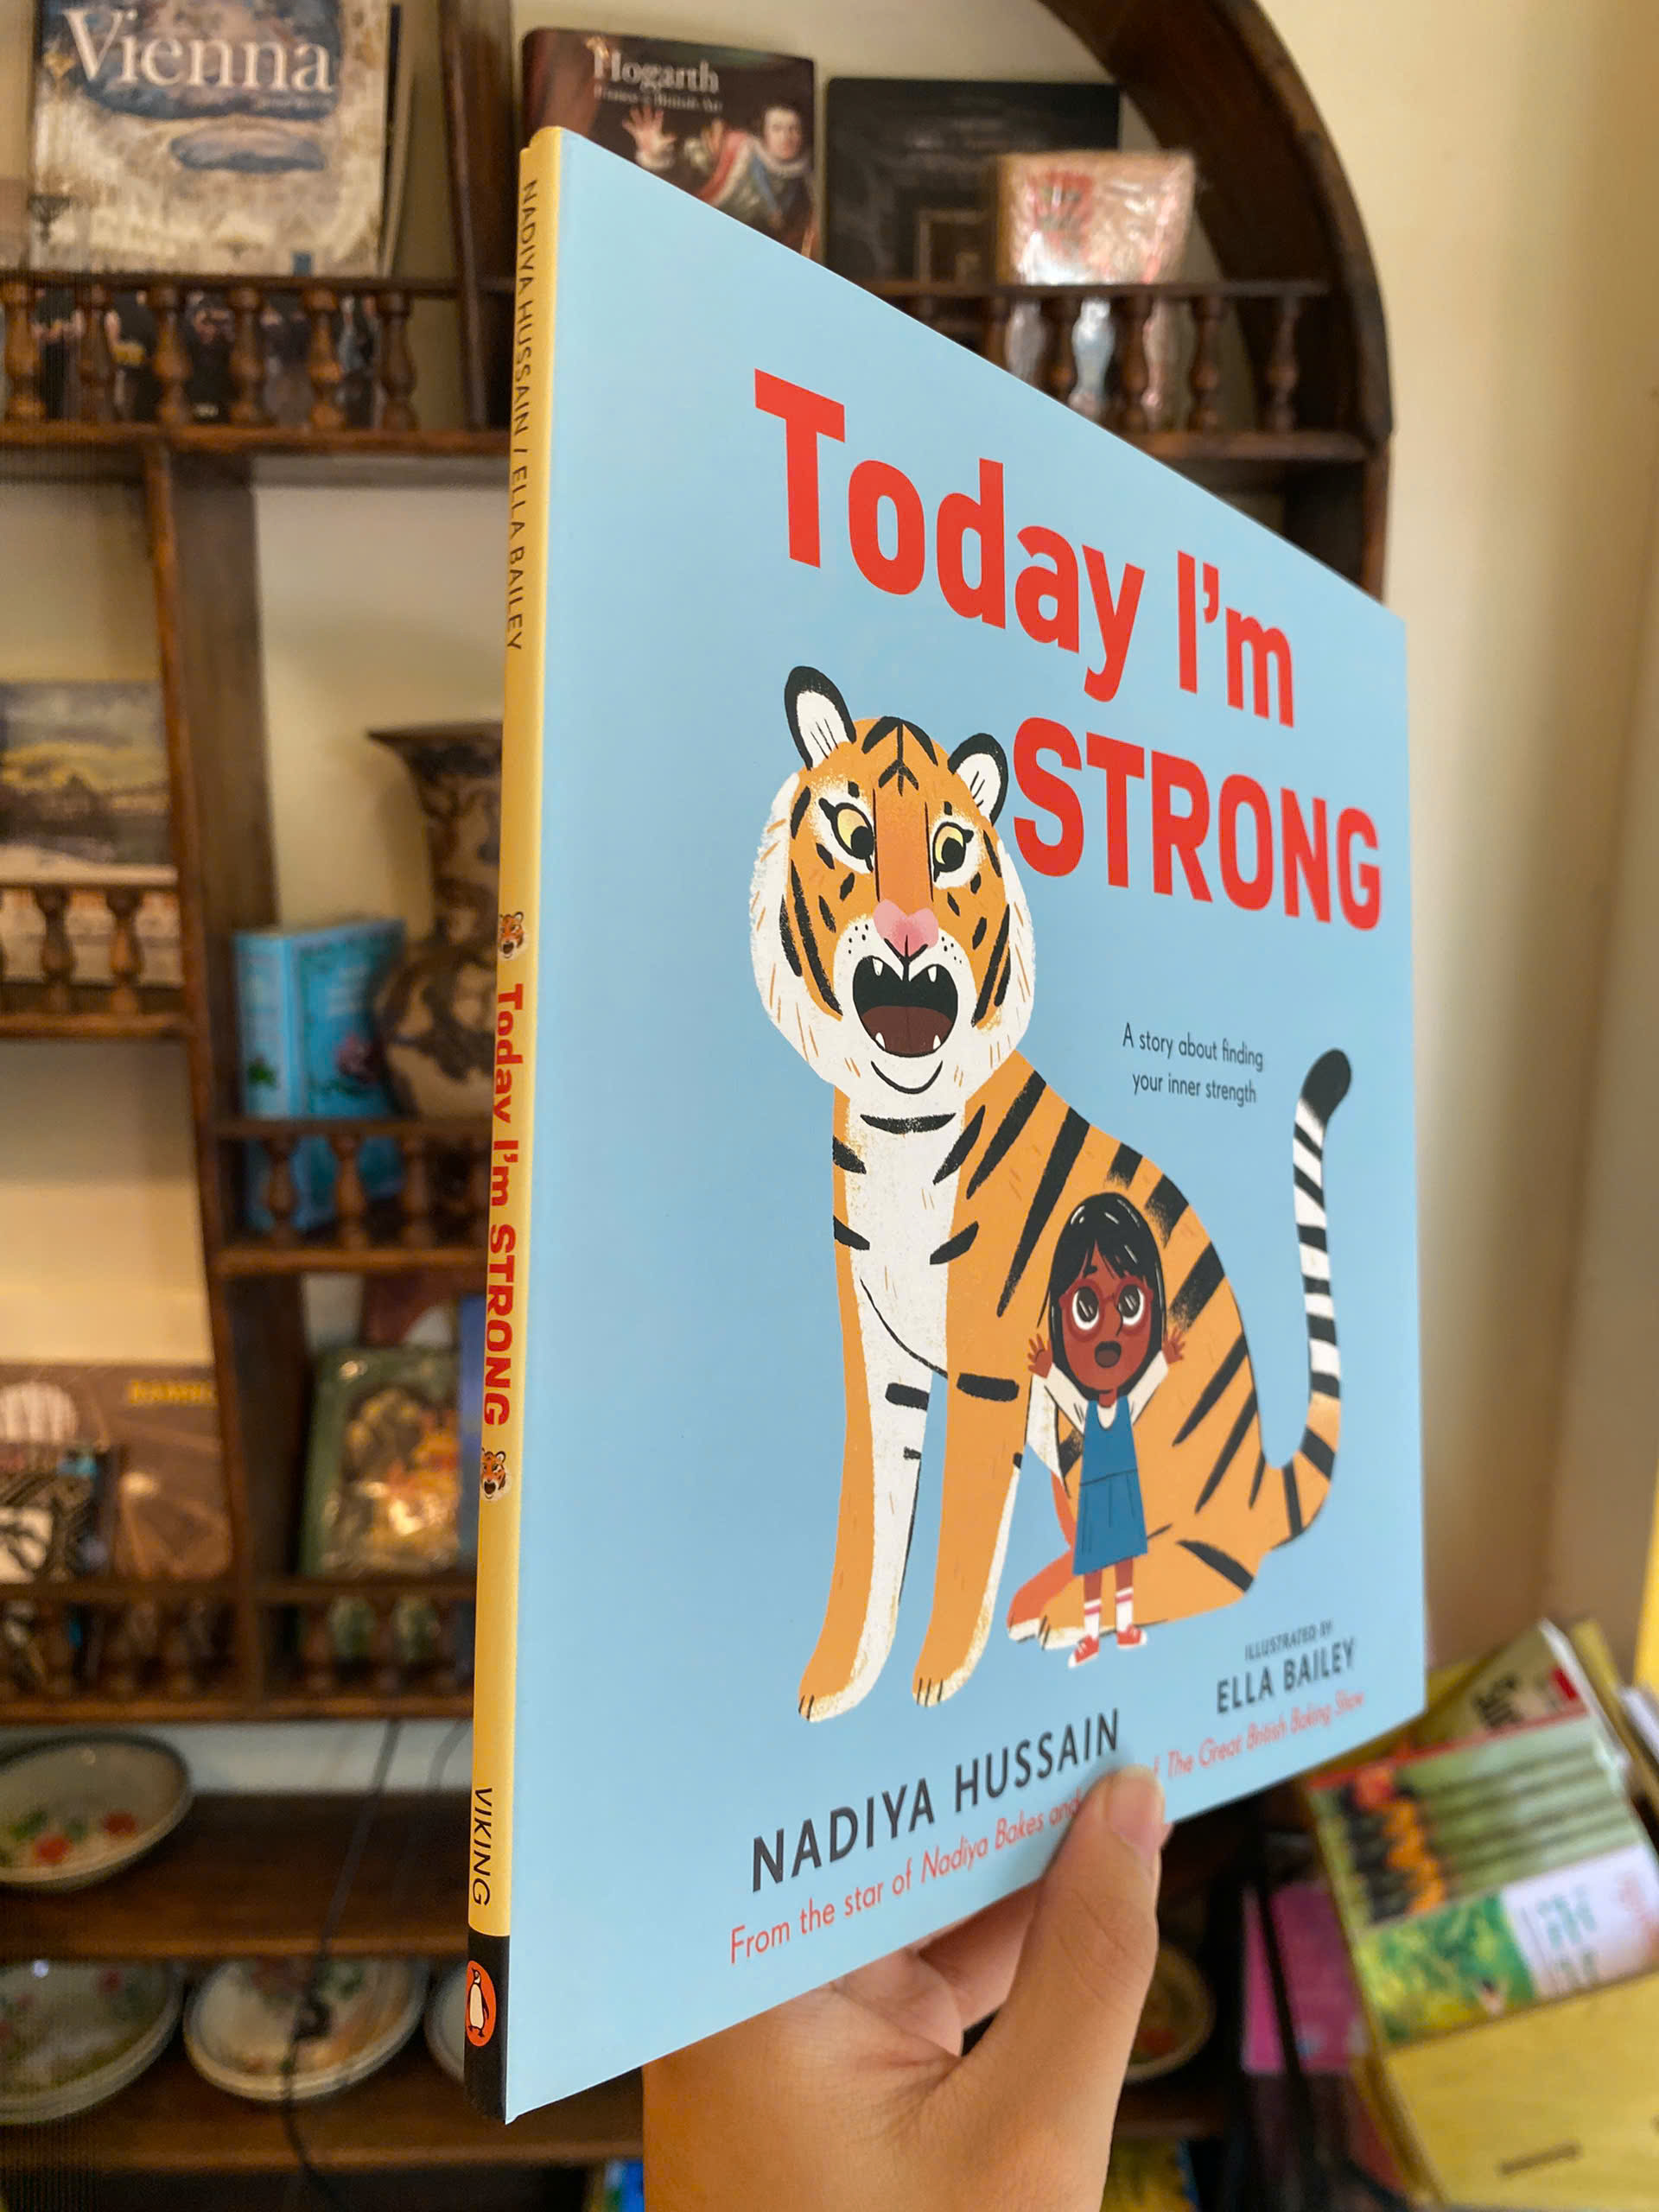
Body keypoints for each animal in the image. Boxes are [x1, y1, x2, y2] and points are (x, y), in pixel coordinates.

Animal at [750, 664, 1350, 1722]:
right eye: (854, 832)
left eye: (950, 853)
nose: (909, 947)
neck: (898, 1126)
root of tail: (1253, 1474)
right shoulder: (877, 1350)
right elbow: (872, 1524)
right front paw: (836, 1681)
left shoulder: (993, 1363)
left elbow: (959, 1531)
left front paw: (938, 1678)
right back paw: (1052, 1597)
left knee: (1216, 1563)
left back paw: (1071, 1614)